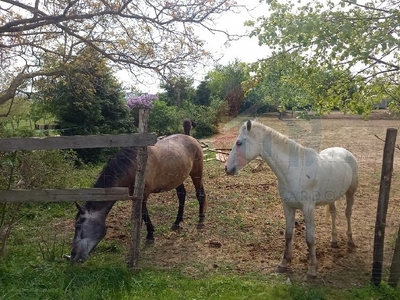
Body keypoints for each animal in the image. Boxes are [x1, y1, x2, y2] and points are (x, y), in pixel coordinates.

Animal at [69, 134, 206, 262]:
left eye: (78, 226)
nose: (72, 255)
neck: (133, 166)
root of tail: (192, 139)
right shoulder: (135, 196)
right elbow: (143, 214)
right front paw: (148, 235)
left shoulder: (144, 194)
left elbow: (143, 215)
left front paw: (147, 238)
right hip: (178, 179)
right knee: (181, 196)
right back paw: (176, 223)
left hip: (196, 174)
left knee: (200, 195)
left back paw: (201, 222)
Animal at [225, 120, 360, 278]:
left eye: (239, 143)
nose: (227, 168)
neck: (294, 172)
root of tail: (346, 152)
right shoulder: (288, 206)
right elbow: (288, 234)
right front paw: (283, 263)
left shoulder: (308, 209)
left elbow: (310, 238)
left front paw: (312, 270)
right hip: (331, 197)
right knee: (333, 213)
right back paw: (333, 241)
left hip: (350, 193)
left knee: (348, 213)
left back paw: (350, 241)